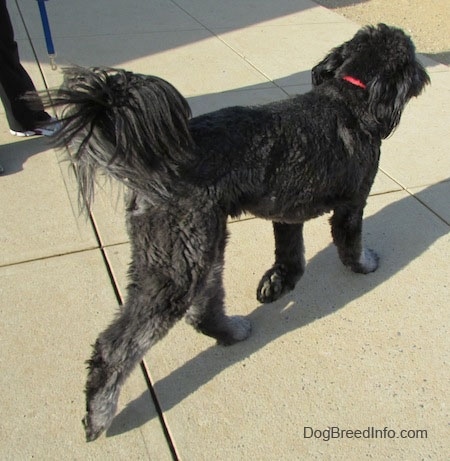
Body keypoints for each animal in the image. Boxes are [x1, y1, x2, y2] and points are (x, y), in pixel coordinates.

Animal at [41, 24, 428, 438]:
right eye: (409, 54)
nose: (422, 73)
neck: (350, 95)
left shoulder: (287, 213)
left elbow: (290, 257)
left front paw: (279, 284)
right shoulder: (352, 204)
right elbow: (350, 243)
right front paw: (365, 264)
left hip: (198, 247)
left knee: (202, 311)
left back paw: (231, 333)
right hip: (180, 264)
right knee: (116, 346)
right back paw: (99, 414)